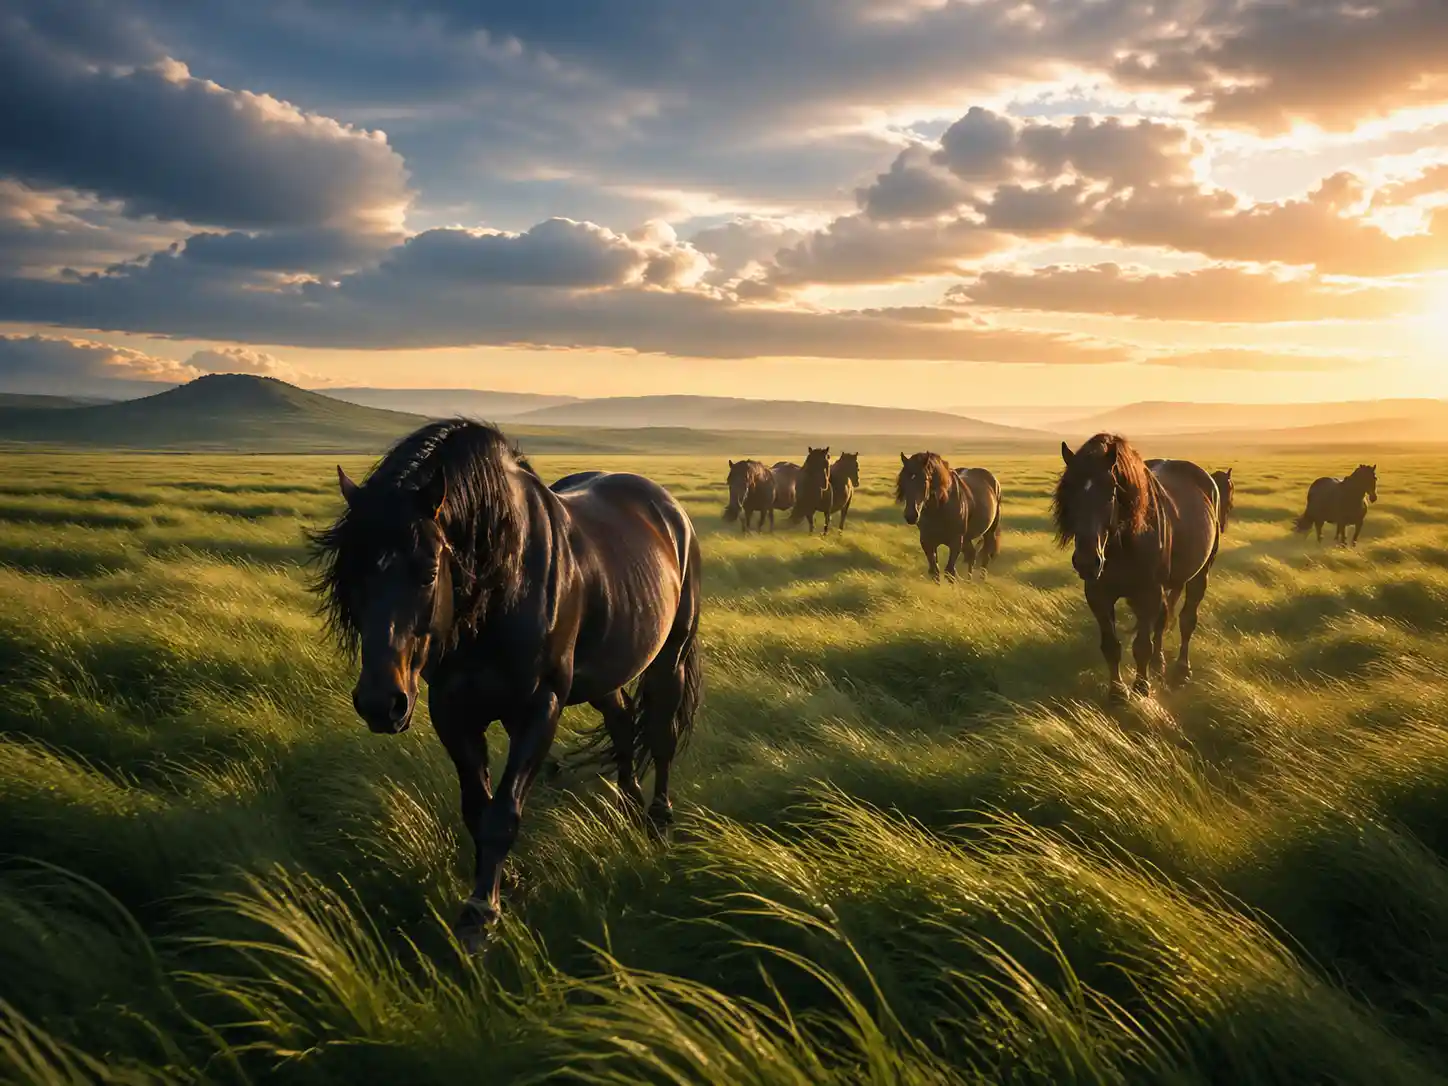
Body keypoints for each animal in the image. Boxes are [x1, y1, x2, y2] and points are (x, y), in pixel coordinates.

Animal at [309, 419, 703, 950]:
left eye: (429, 570)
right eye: (350, 575)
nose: (379, 703)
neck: (501, 588)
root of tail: (669, 509)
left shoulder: (540, 708)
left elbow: (503, 814)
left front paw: (480, 915)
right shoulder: (451, 711)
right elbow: (479, 810)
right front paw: (499, 885)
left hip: (670, 655)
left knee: (661, 733)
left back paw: (658, 820)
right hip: (606, 670)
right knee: (623, 723)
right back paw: (626, 805)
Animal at [896, 451, 971, 580]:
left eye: (924, 481)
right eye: (903, 481)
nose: (911, 516)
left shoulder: (957, 541)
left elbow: (950, 571)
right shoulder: (927, 541)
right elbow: (934, 571)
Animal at [1055, 435, 1220, 701]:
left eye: (1111, 492)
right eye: (1069, 491)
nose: (1087, 562)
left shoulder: (1148, 593)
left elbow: (1142, 645)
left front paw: (1142, 687)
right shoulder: (1098, 595)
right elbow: (1111, 645)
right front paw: (1117, 692)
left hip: (1200, 574)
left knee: (1186, 620)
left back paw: (1181, 670)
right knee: (1163, 620)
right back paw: (1158, 664)